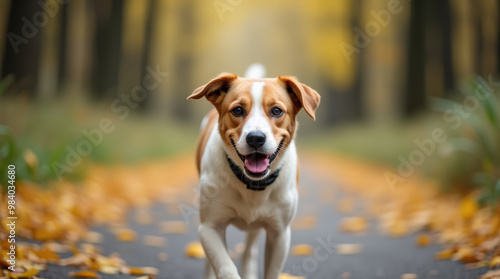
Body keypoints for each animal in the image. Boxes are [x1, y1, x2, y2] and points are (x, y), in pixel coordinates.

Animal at [188, 64, 320, 279]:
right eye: (237, 110)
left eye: (276, 111)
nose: (255, 138)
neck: (252, 184)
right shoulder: (209, 227)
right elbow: (225, 268)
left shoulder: (280, 233)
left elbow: (271, 270)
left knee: (249, 250)